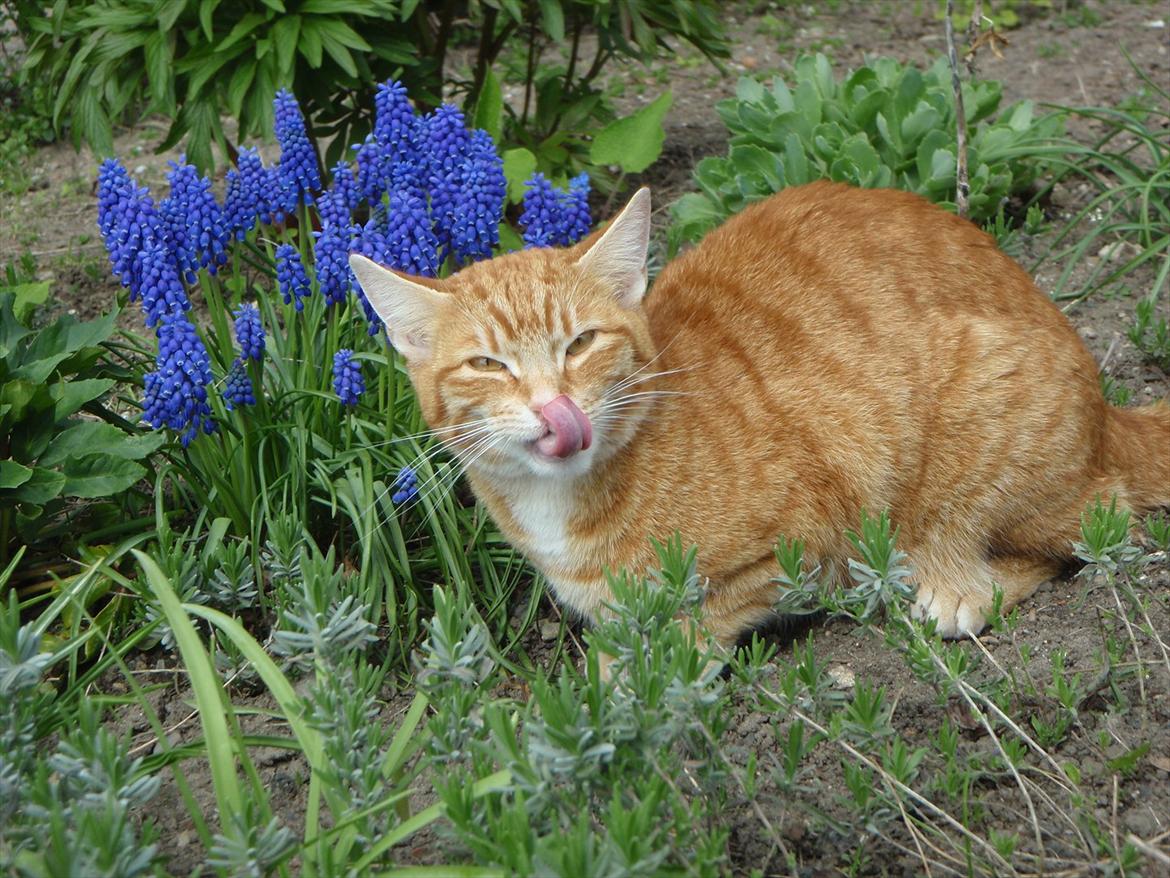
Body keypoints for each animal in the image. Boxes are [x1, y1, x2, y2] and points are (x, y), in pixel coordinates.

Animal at [351, 183, 1170, 646]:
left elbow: (698, 619)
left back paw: (958, 588)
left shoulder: (806, 539)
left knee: (1097, 527)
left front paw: (648, 676)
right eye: (488, 365)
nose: (554, 407)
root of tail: (1109, 411)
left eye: (581, 343)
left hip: (978, 416)